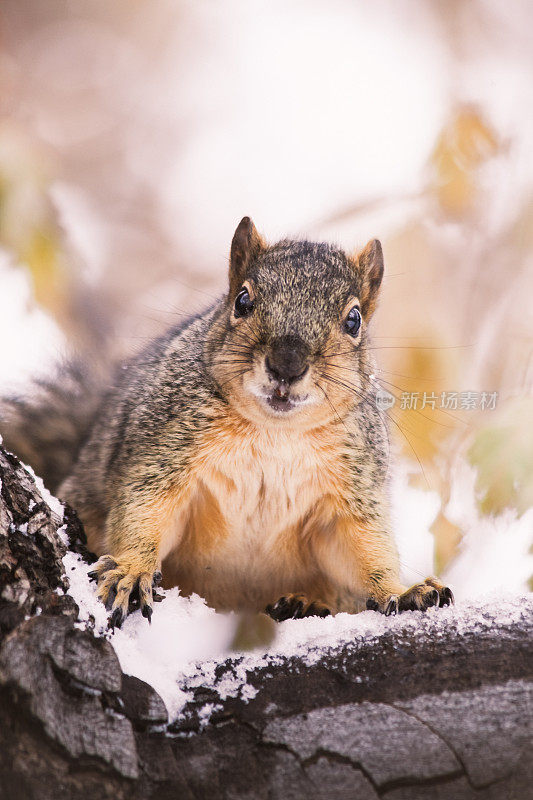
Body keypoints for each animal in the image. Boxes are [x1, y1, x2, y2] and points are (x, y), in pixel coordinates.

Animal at [0, 217, 450, 624]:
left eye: (354, 320)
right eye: (243, 301)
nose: (287, 364)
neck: (275, 431)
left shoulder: (353, 486)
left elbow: (362, 551)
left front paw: (403, 590)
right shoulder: (162, 450)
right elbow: (145, 511)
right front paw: (131, 568)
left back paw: (305, 602)